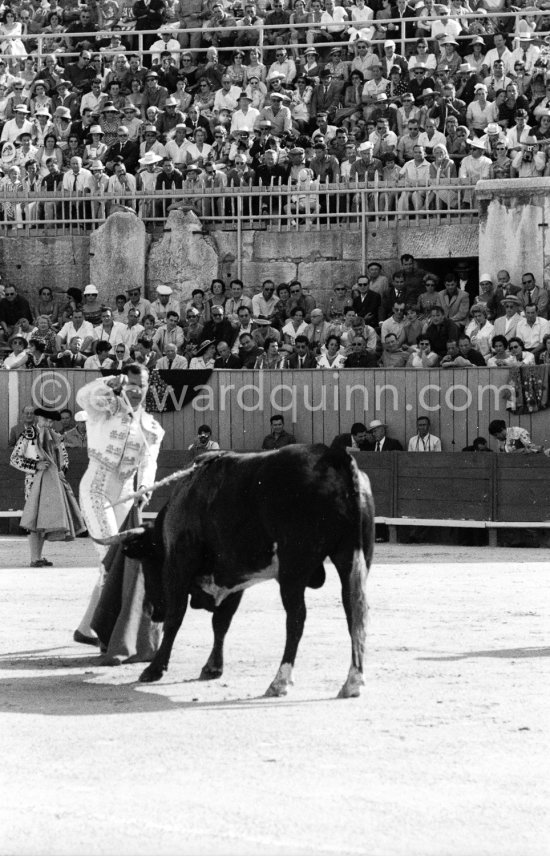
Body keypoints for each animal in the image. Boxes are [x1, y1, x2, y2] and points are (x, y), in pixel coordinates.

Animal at [98, 444, 376, 700]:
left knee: (297, 618)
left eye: (147, 563)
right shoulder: (236, 577)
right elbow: (221, 622)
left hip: (293, 570)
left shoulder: (179, 565)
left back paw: (280, 681)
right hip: (352, 559)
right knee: (355, 612)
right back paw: (353, 682)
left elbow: (176, 618)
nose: (151, 611)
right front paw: (212, 667)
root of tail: (334, 455)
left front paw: (154, 669)